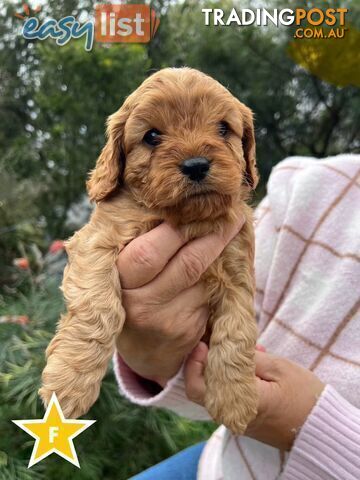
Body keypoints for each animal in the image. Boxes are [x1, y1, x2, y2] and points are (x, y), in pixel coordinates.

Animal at [39, 68, 258, 436]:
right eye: (152, 136)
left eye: (223, 128)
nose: (196, 165)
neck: (186, 219)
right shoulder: (97, 242)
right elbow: (98, 309)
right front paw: (69, 381)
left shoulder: (237, 274)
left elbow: (237, 333)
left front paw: (235, 398)